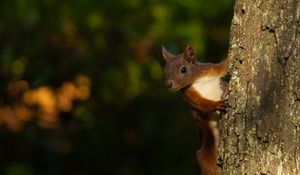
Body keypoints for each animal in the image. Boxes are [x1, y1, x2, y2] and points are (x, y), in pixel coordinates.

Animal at [162, 44, 227, 174]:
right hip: (207, 146)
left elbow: (223, 66)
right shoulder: (188, 94)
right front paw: (216, 104)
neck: (197, 80)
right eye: (165, 71)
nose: (168, 85)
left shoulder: (212, 69)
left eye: (183, 69)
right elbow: (202, 104)